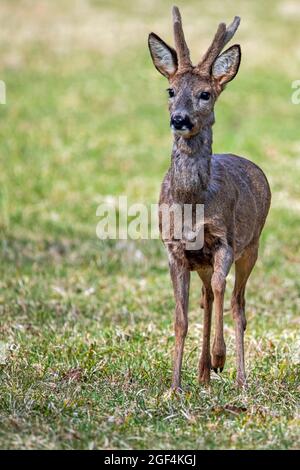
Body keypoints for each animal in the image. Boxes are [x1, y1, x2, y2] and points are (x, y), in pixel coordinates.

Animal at [148, 6, 272, 390]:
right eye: (170, 89)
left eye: (205, 94)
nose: (179, 119)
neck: (192, 203)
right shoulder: (174, 248)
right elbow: (180, 318)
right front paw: (174, 387)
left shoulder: (224, 241)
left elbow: (221, 290)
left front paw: (220, 358)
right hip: (200, 261)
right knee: (205, 299)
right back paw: (202, 373)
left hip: (252, 245)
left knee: (236, 303)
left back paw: (238, 378)